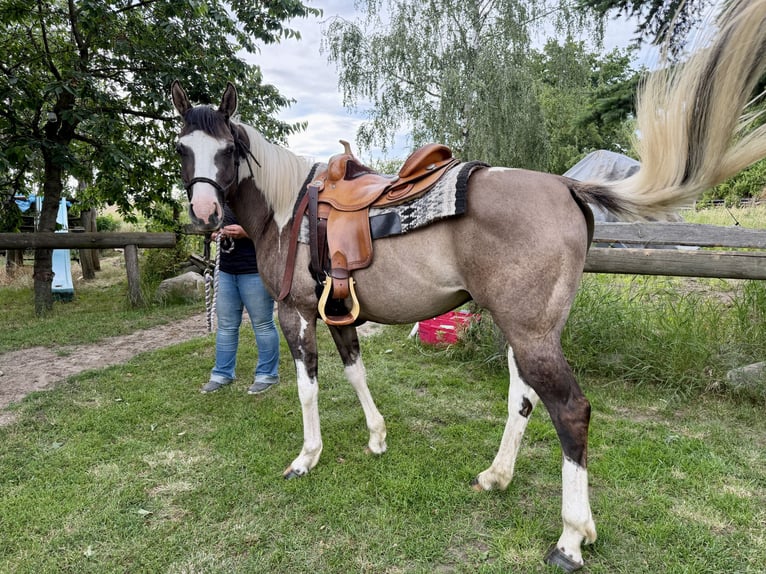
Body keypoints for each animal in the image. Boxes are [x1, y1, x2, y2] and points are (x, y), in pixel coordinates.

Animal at [170, 1, 766, 570]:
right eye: (181, 149)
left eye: (227, 150)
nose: (204, 212)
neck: (288, 208)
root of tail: (568, 186)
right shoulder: (338, 312)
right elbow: (356, 371)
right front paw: (377, 437)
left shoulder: (295, 313)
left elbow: (308, 388)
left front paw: (306, 457)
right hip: (524, 329)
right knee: (523, 397)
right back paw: (496, 477)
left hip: (531, 333)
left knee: (570, 410)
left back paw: (571, 539)